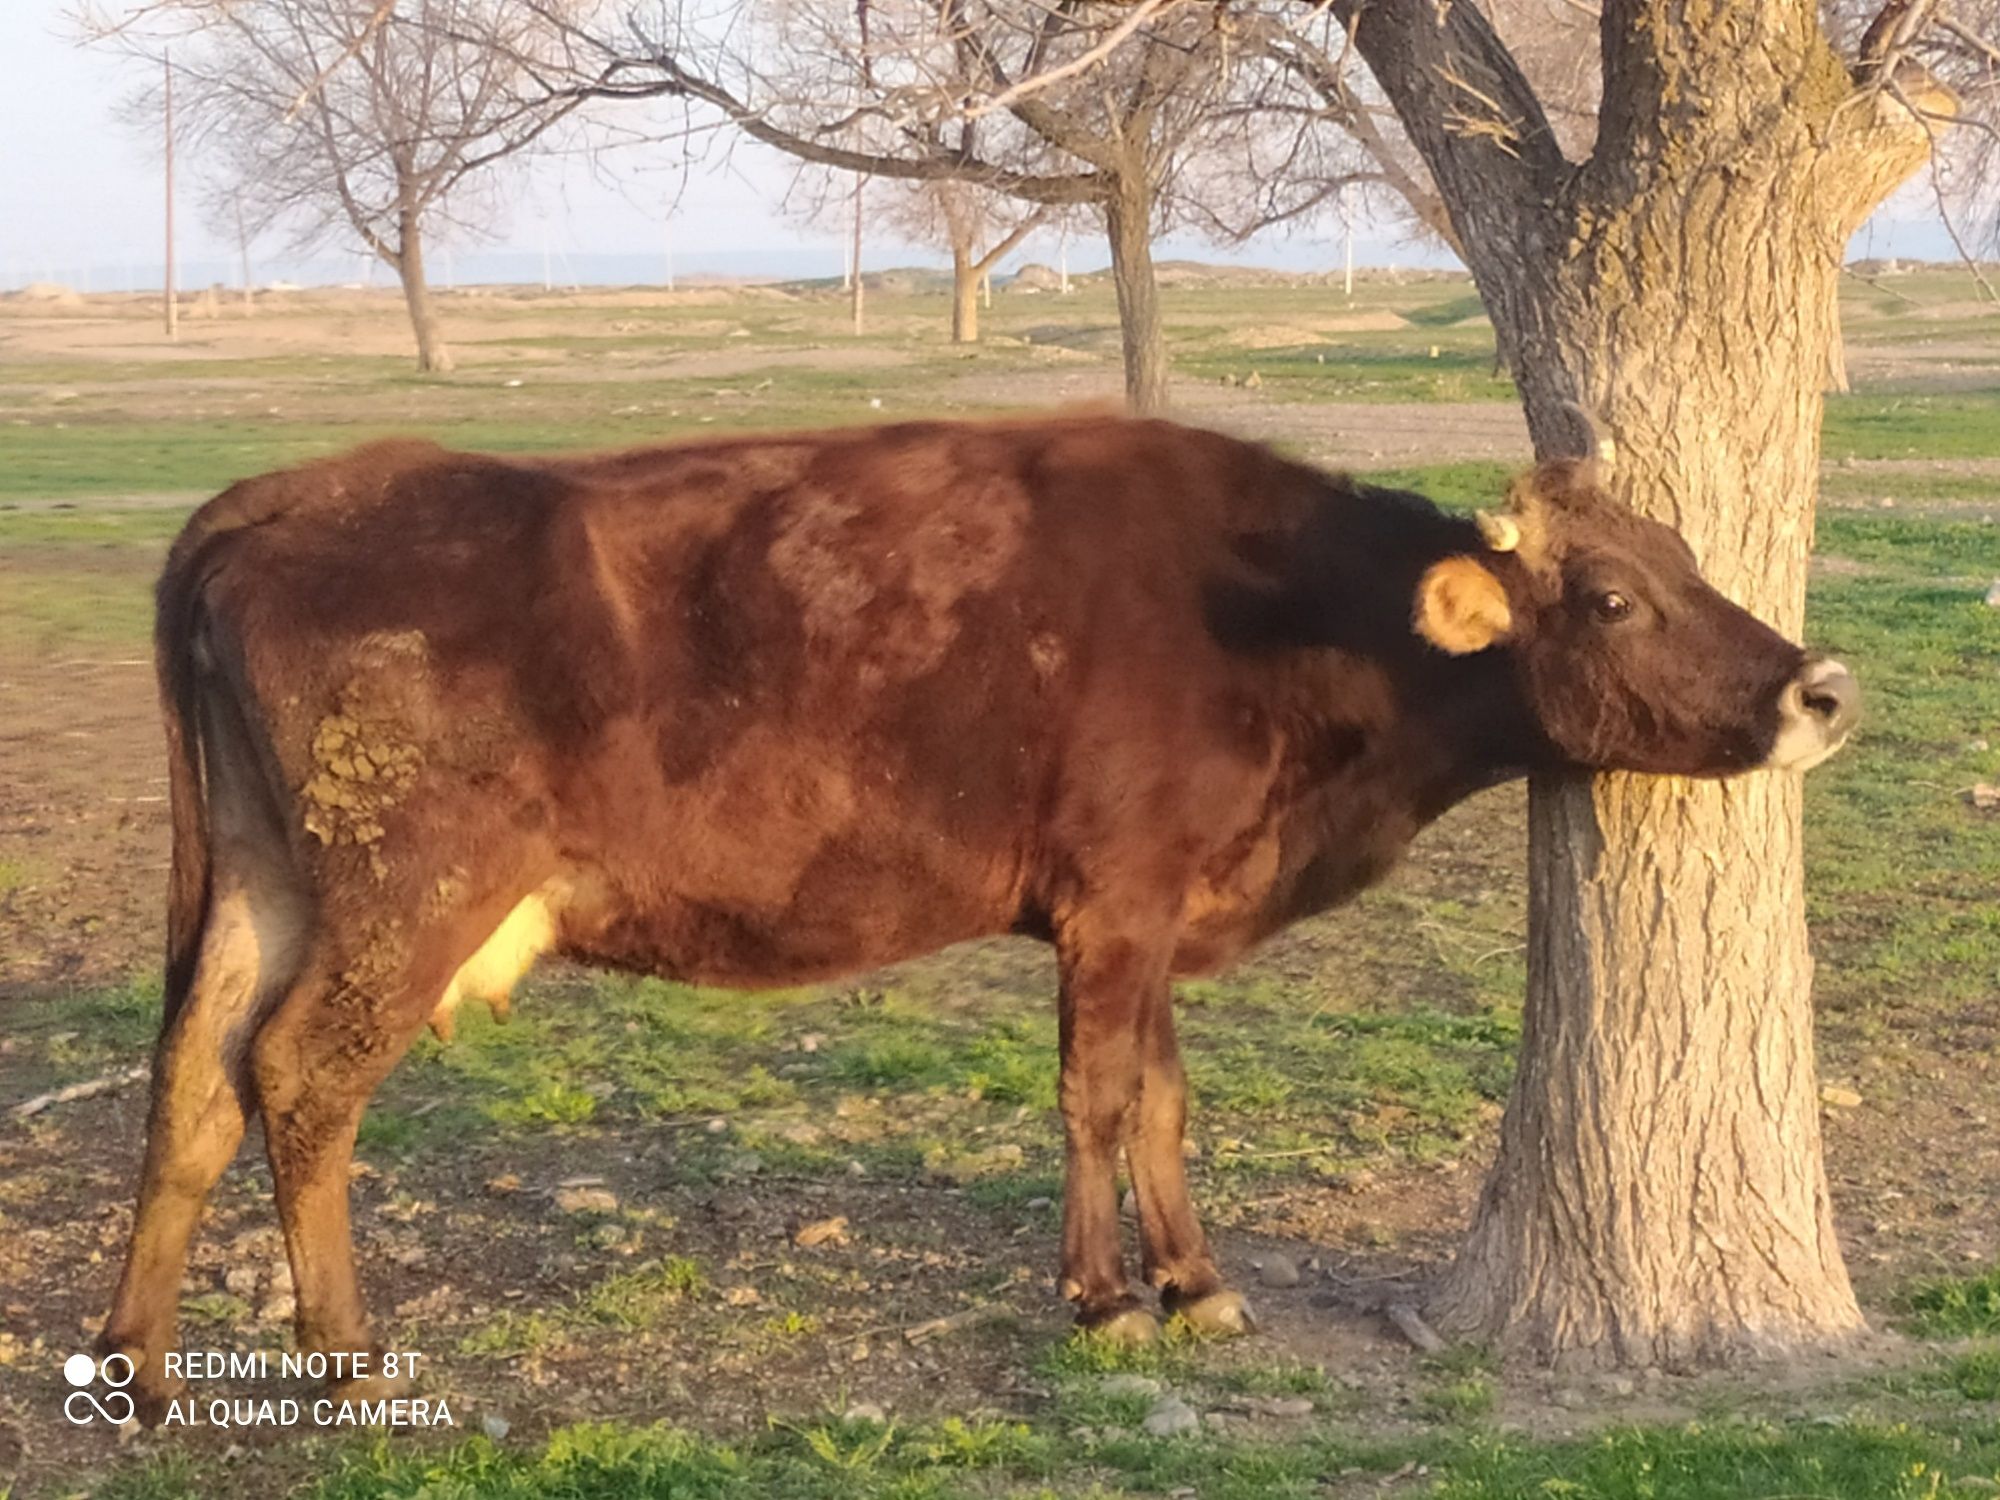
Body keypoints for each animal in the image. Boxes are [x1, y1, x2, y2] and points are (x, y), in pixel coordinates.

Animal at [101, 414, 1856, 1424]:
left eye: (1688, 556)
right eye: (1615, 597)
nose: (1819, 688)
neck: (1290, 625)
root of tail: (284, 496)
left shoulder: (1150, 912)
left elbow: (1164, 1097)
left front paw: (1200, 1284)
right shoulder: (1115, 903)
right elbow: (1097, 1096)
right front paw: (1105, 1300)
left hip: (262, 883)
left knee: (191, 1082)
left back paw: (139, 1362)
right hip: (404, 896)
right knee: (299, 1081)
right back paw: (345, 1360)